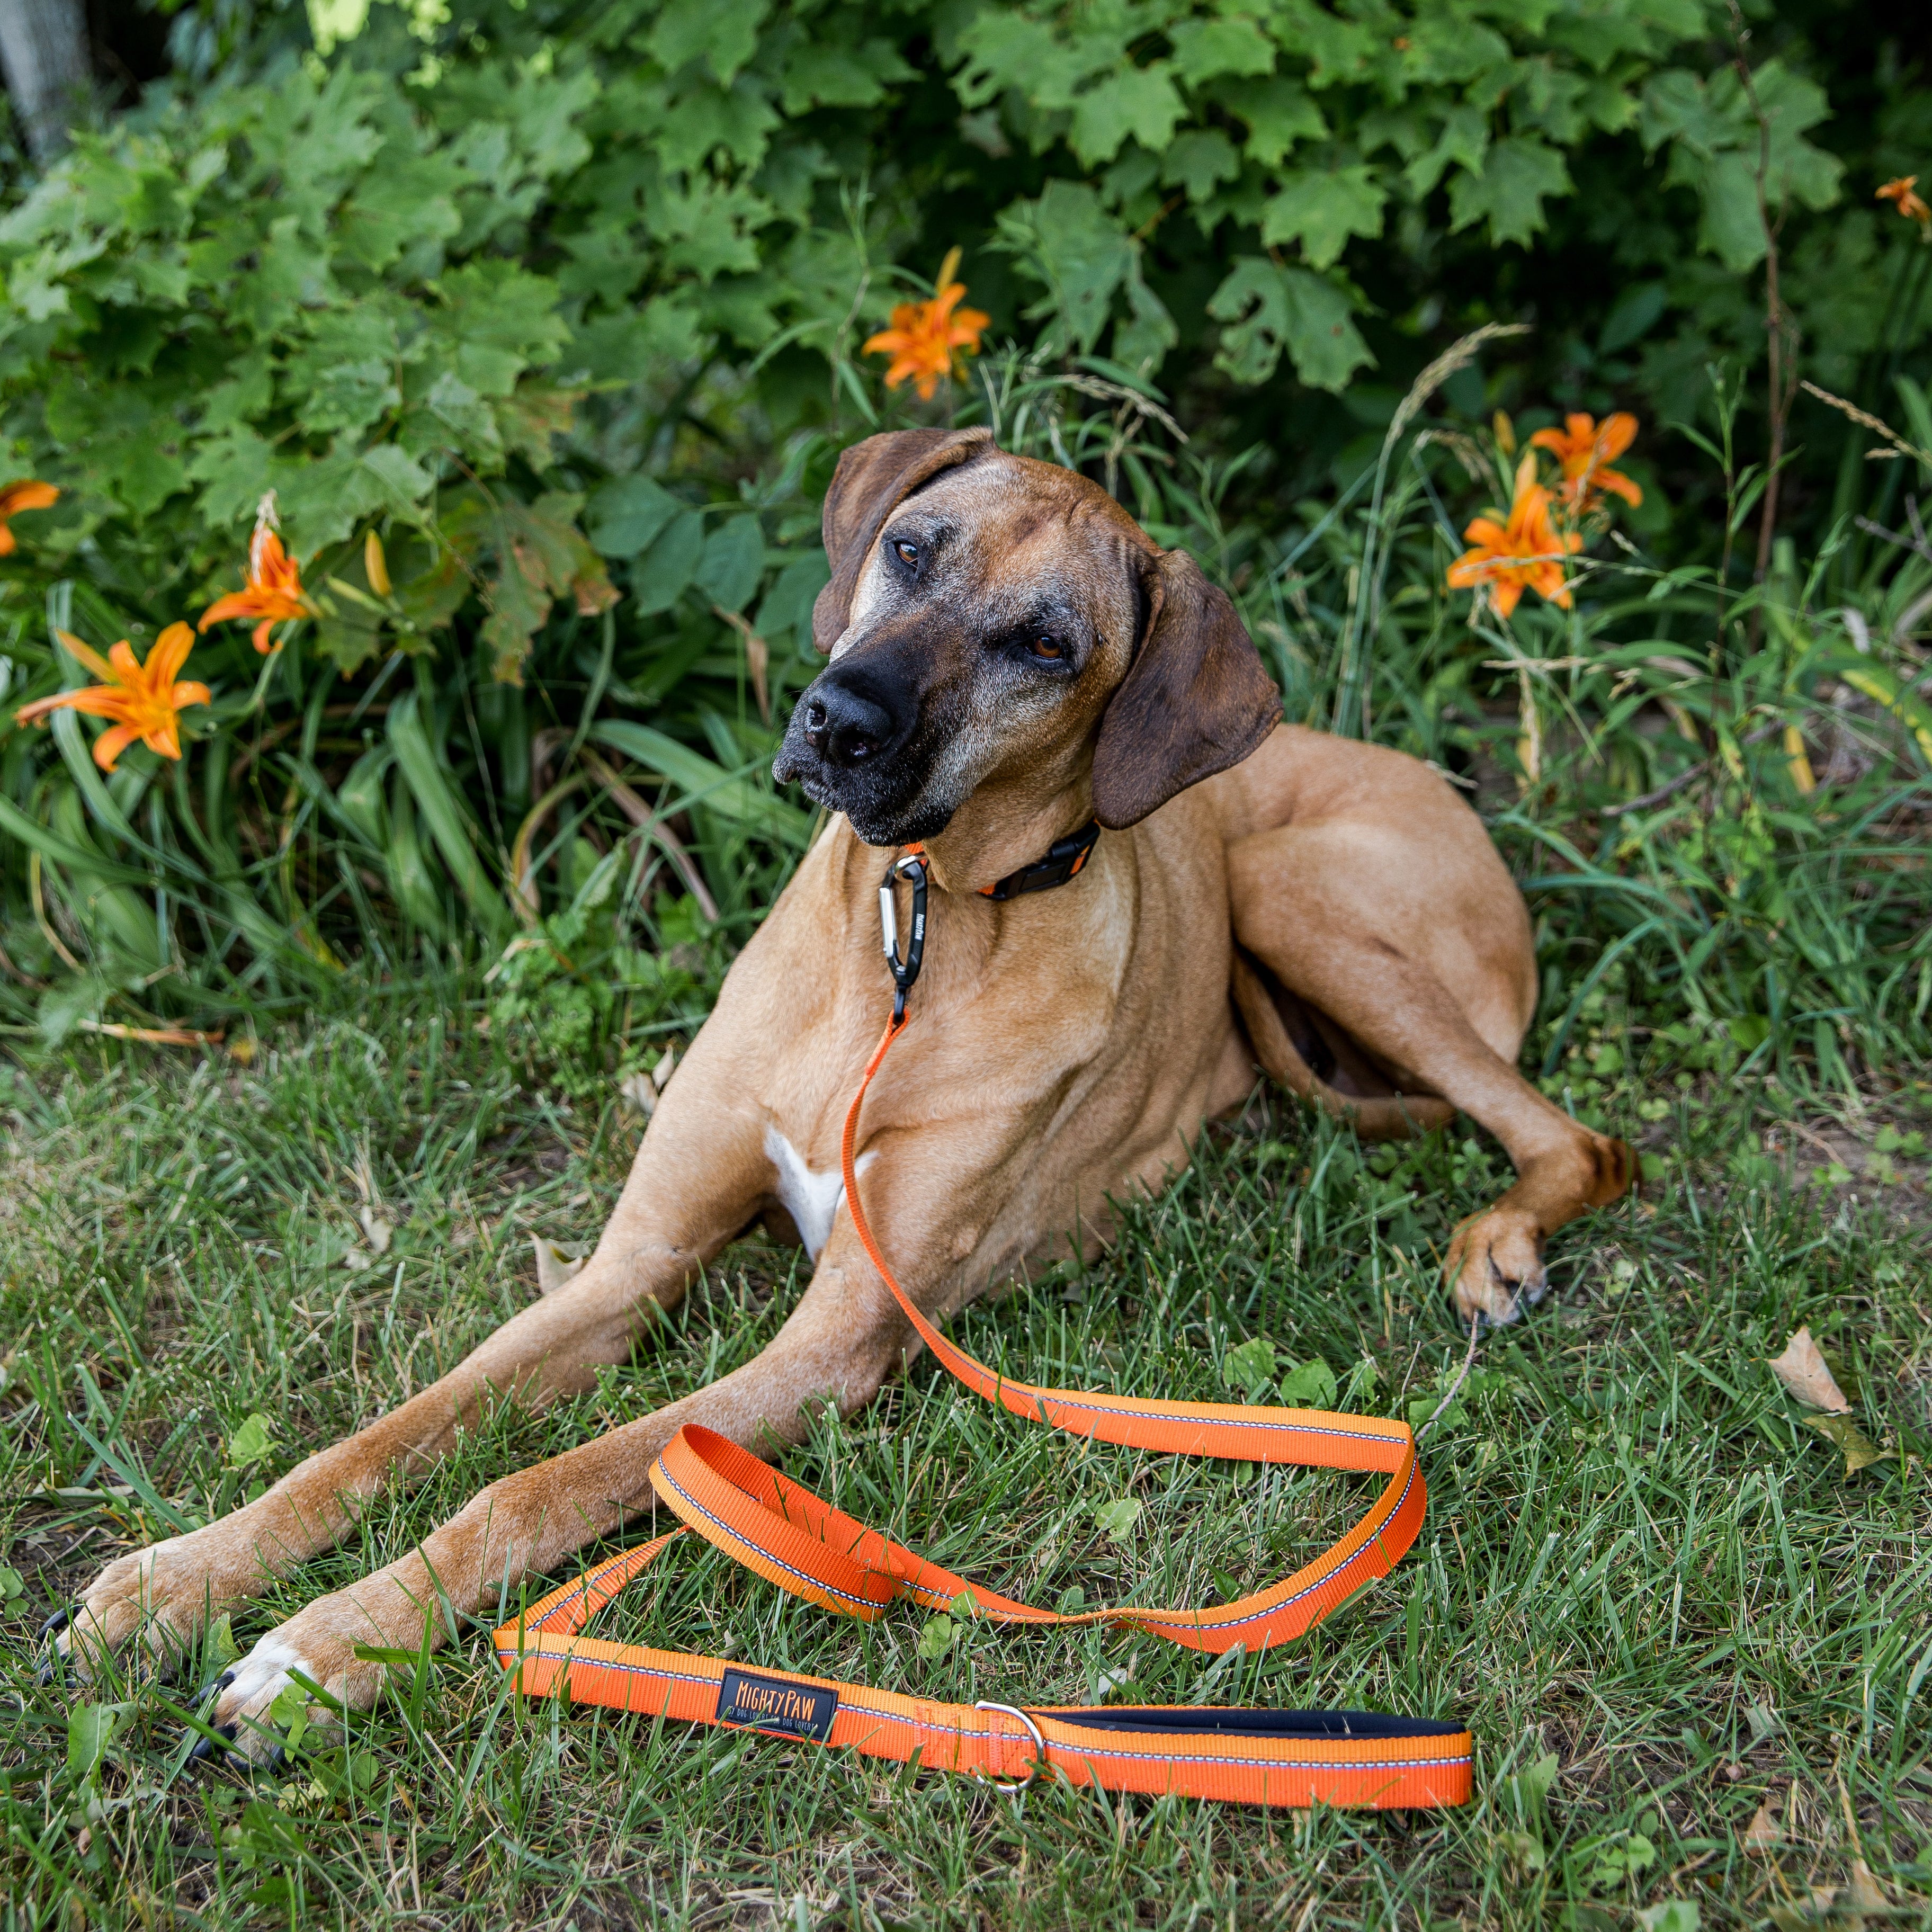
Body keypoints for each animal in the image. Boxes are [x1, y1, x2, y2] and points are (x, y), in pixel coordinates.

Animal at [49, 431, 1630, 1761]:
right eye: (913, 549)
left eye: (1046, 643)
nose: (838, 716)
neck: (906, 931)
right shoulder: (631, 1263)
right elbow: (386, 1437)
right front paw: (182, 1576)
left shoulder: (822, 1350)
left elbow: (540, 1481)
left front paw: (326, 1653)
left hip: (1294, 895)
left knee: (1580, 1139)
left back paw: (1496, 1248)